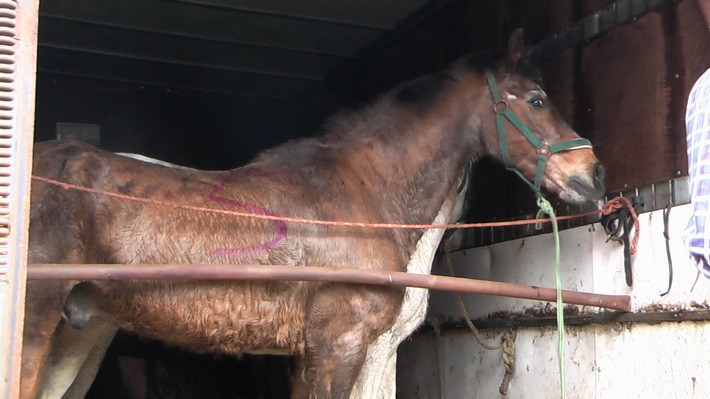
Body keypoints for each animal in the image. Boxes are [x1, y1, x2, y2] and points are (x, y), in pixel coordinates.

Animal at [20, 28, 608, 399]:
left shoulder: (313, 354)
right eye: (537, 100)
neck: (363, 195)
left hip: (76, 333)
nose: (594, 173)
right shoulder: (340, 345)